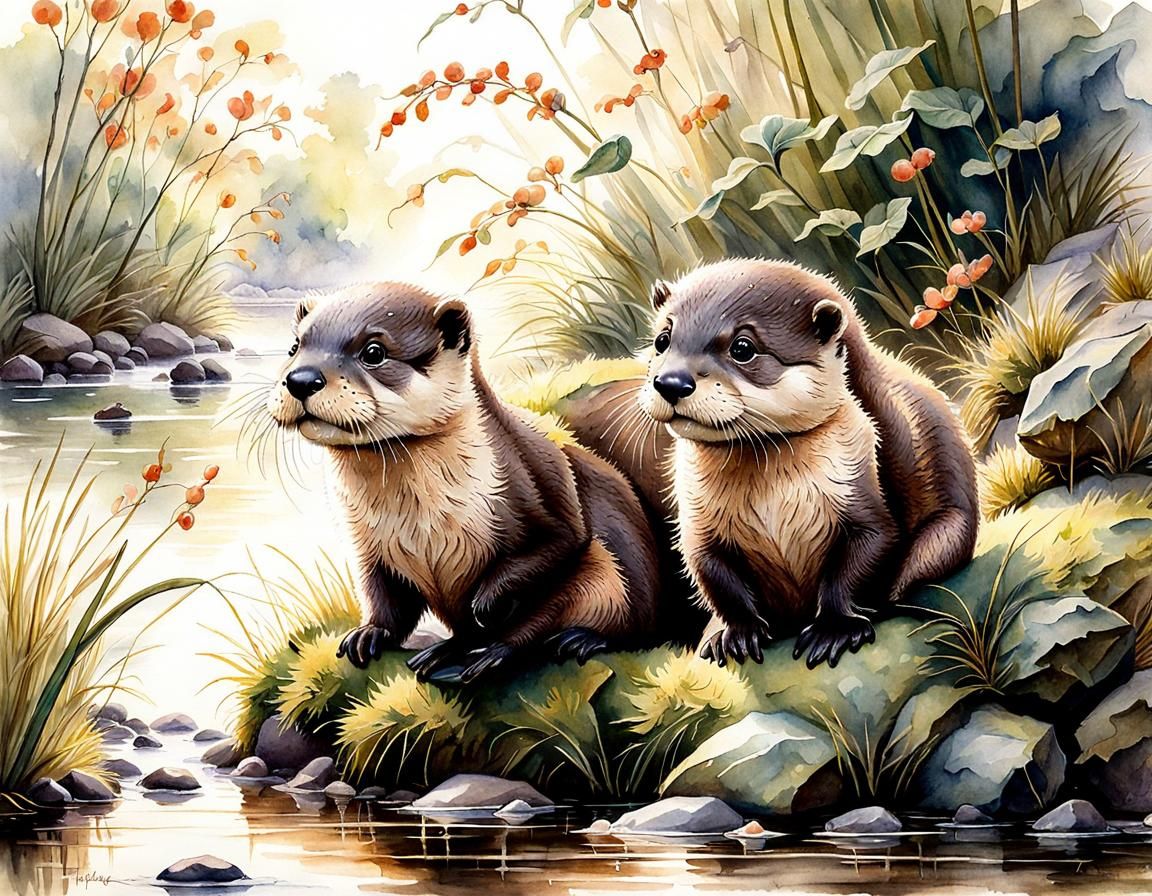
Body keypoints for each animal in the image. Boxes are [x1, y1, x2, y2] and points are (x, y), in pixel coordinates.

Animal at [266, 282, 663, 682]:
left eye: (374, 352)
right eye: (295, 346)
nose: (302, 379)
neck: (420, 517)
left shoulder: (537, 483)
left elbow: (560, 545)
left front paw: (487, 608)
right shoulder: (370, 545)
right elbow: (384, 598)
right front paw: (369, 633)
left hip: (616, 572)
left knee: (609, 626)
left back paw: (550, 644)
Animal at [637, 259, 978, 669]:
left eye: (743, 348)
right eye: (662, 340)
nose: (672, 382)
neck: (771, 499)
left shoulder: (862, 496)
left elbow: (863, 557)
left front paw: (834, 628)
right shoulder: (700, 526)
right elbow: (716, 577)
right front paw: (734, 634)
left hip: (948, 530)